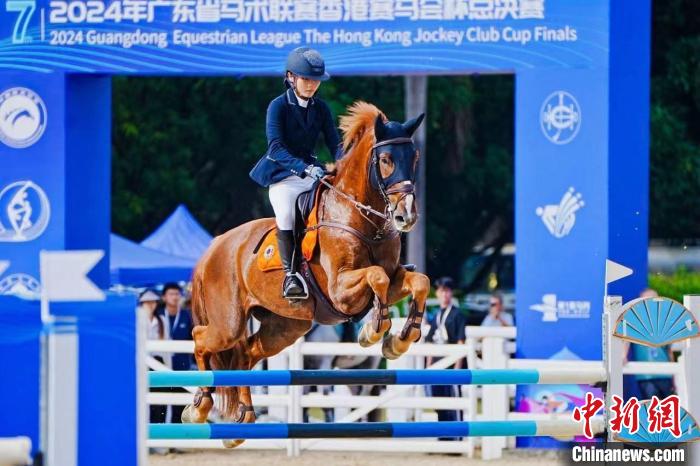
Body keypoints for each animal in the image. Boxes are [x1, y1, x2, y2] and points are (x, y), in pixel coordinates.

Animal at [182, 102, 430, 448]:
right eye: (386, 160)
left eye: (415, 158)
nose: (407, 216)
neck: (361, 217)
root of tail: (213, 247)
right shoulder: (341, 290)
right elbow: (376, 276)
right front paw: (374, 330)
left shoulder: (395, 278)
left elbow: (418, 281)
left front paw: (400, 339)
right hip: (227, 324)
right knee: (201, 339)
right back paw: (200, 406)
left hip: (286, 327)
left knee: (246, 352)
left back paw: (243, 418)